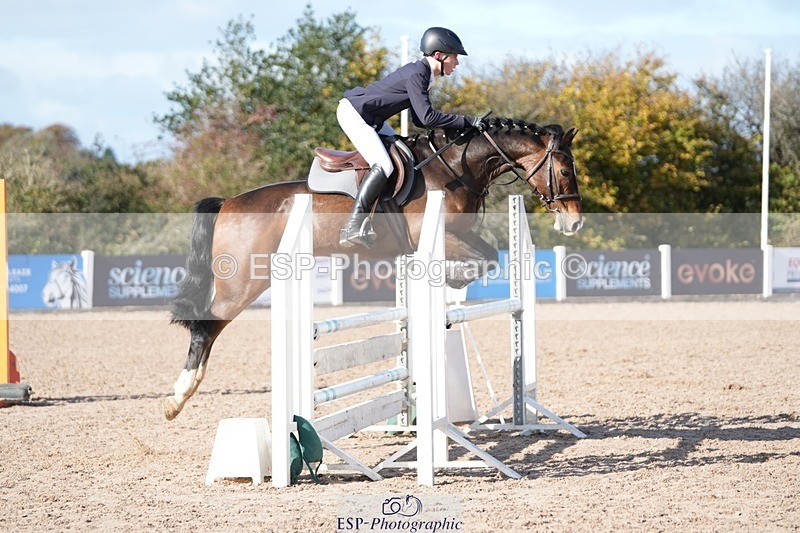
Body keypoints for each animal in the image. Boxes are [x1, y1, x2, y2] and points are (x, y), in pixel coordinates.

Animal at [164, 117, 583, 420]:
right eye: (565, 172)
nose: (574, 222)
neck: (453, 168)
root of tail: (227, 203)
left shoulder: (459, 234)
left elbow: (489, 255)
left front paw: (452, 284)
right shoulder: (436, 235)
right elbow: (482, 260)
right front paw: (452, 281)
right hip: (244, 282)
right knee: (205, 327)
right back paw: (177, 399)